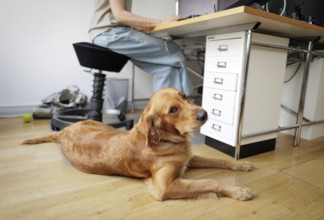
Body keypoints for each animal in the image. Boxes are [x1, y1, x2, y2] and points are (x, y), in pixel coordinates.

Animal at [23, 87, 256, 201]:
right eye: (173, 110)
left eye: (185, 97)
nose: (204, 113)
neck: (164, 140)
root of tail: (64, 131)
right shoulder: (164, 186)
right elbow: (210, 182)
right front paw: (239, 191)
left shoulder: (187, 159)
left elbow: (220, 160)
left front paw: (242, 164)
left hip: (105, 127)